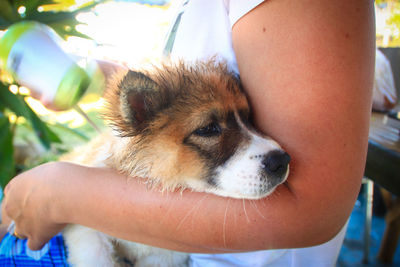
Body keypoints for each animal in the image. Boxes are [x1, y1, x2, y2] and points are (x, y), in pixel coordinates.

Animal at [61, 60, 290, 267]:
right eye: (208, 129)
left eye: (248, 118)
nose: (283, 161)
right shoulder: (85, 232)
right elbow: (95, 256)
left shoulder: (164, 258)